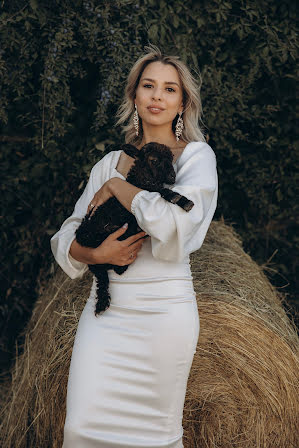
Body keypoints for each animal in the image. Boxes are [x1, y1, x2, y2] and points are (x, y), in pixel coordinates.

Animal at [75, 142, 195, 316]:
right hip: (90, 240)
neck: (141, 177)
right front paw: (181, 199)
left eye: (171, 157)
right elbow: (161, 190)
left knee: (104, 275)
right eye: (154, 160)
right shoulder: (148, 187)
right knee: (102, 274)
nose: (172, 176)